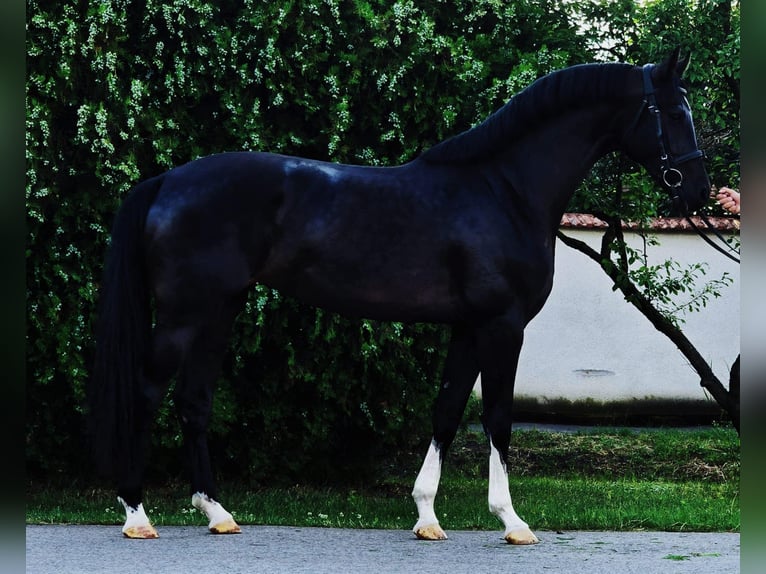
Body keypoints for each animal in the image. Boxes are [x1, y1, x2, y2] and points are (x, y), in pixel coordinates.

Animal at [93, 50, 712, 544]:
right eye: (673, 112)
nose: (700, 192)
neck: (503, 192)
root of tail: (166, 181)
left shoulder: (468, 327)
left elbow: (446, 410)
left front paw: (426, 516)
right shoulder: (503, 325)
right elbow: (497, 416)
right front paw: (512, 522)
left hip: (218, 310)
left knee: (193, 401)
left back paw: (216, 512)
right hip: (184, 314)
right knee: (147, 393)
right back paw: (137, 514)